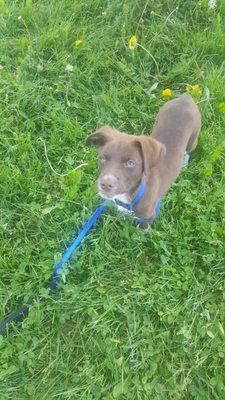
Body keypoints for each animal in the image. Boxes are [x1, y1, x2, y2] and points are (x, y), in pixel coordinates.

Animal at [85, 92, 200, 227]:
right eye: (102, 158)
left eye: (130, 163)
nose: (106, 184)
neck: (131, 195)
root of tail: (186, 97)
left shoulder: (149, 216)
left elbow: (142, 226)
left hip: (193, 138)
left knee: (188, 150)